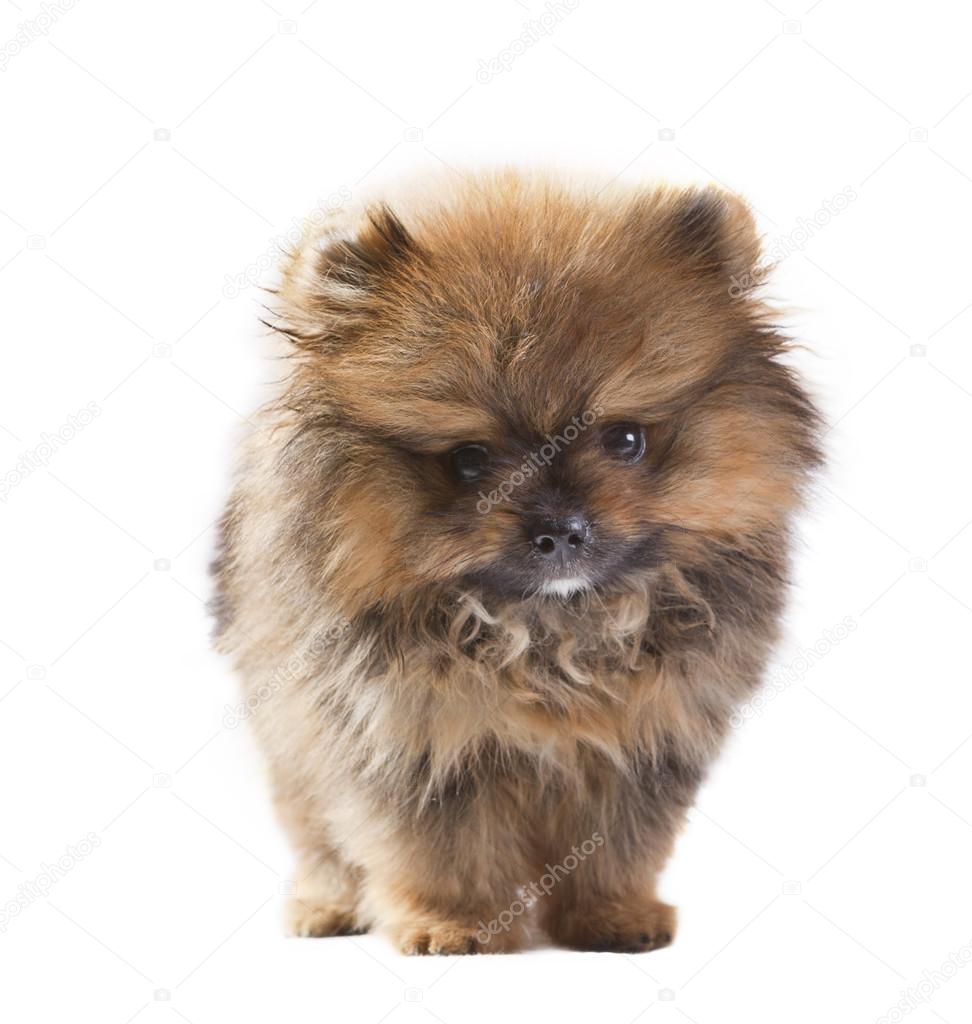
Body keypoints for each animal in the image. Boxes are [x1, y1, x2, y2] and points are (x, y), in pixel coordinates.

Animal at [214, 167, 819, 950]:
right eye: (470, 459)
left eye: (626, 439)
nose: (560, 530)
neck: (547, 633)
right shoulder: (412, 740)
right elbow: (438, 848)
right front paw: (454, 923)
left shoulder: (644, 736)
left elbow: (618, 844)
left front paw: (611, 915)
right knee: (317, 834)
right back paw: (327, 906)